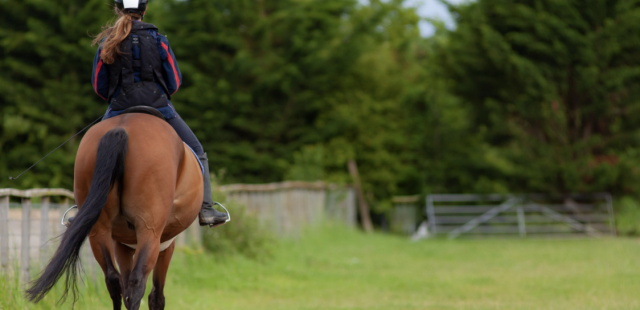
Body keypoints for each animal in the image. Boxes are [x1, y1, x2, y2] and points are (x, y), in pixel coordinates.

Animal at [25, 107, 202, 310]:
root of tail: (121, 128)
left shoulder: (121, 245)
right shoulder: (165, 244)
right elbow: (156, 296)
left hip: (98, 229)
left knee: (113, 280)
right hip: (149, 231)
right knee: (136, 282)